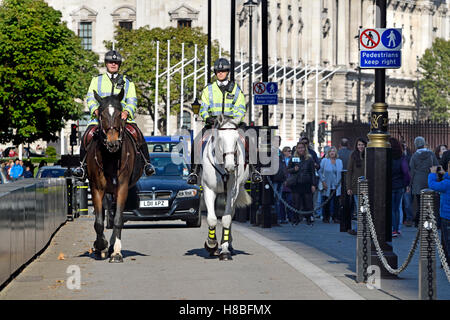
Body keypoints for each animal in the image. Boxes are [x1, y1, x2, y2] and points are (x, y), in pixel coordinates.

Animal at [87, 88, 143, 262]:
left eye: (119, 114)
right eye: (101, 115)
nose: (113, 143)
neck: (111, 157)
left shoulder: (122, 188)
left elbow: (118, 219)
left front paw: (116, 252)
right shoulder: (96, 189)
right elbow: (99, 222)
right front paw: (100, 246)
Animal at [201, 114, 251, 260]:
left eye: (236, 140)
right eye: (220, 139)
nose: (230, 166)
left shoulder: (232, 192)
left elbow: (226, 219)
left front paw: (224, 250)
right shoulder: (208, 190)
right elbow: (211, 219)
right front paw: (211, 244)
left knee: (230, 214)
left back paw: (228, 245)